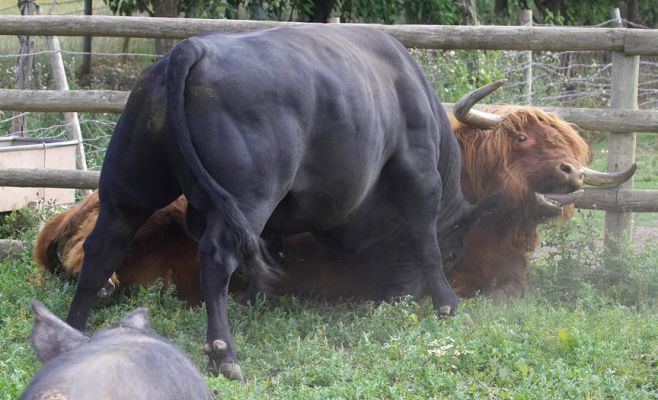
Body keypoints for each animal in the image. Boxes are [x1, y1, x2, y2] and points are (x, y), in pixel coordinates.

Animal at [62, 25, 502, 381]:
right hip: (250, 193)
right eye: (454, 252)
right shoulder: (419, 170)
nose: (399, 293)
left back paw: (73, 332)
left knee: (103, 247)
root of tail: (191, 48)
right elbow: (425, 240)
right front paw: (447, 303)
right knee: (217, 257)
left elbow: (269, 247)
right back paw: (224, 355)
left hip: (128, 189)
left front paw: (253, 299)